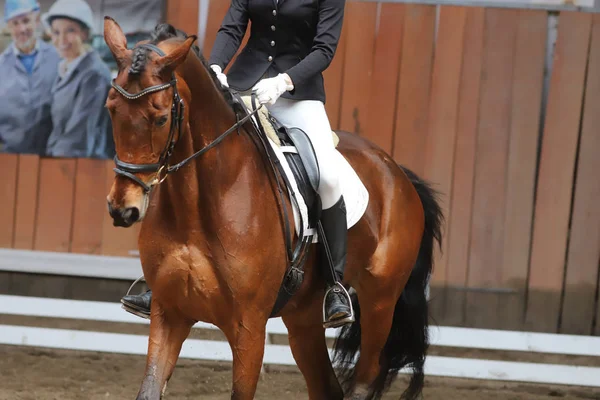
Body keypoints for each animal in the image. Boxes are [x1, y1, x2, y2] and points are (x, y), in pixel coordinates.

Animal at [102, 16, 440, 400]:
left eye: (160, 118)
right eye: (111, 109)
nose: (122, 208)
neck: (200, 205)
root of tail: (397, 171)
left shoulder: (248, 326)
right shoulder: (168, 312)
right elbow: (149, 387)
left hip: (379, 303)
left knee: (367, 375)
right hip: (303, 316)